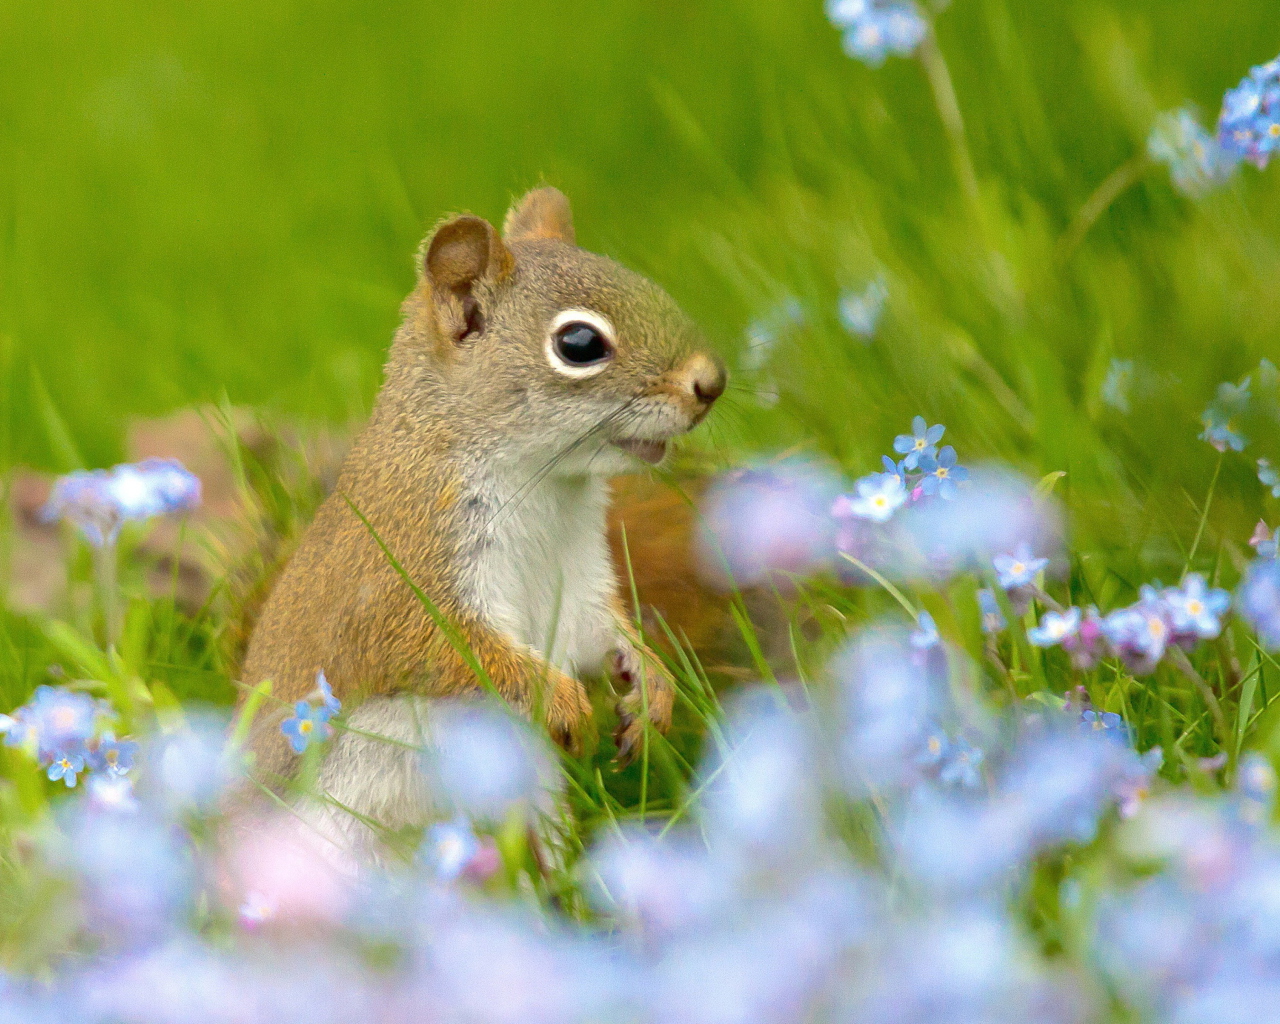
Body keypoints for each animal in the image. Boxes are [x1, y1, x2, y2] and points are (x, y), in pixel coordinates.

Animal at [238, 185, 721, 849]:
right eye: (579, 344)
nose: (712, 382)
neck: (545, 486)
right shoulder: (406, 568)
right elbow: (447, 648)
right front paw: (563, 702)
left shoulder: (578, 578)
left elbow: (601, 631)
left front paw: (651, 688)